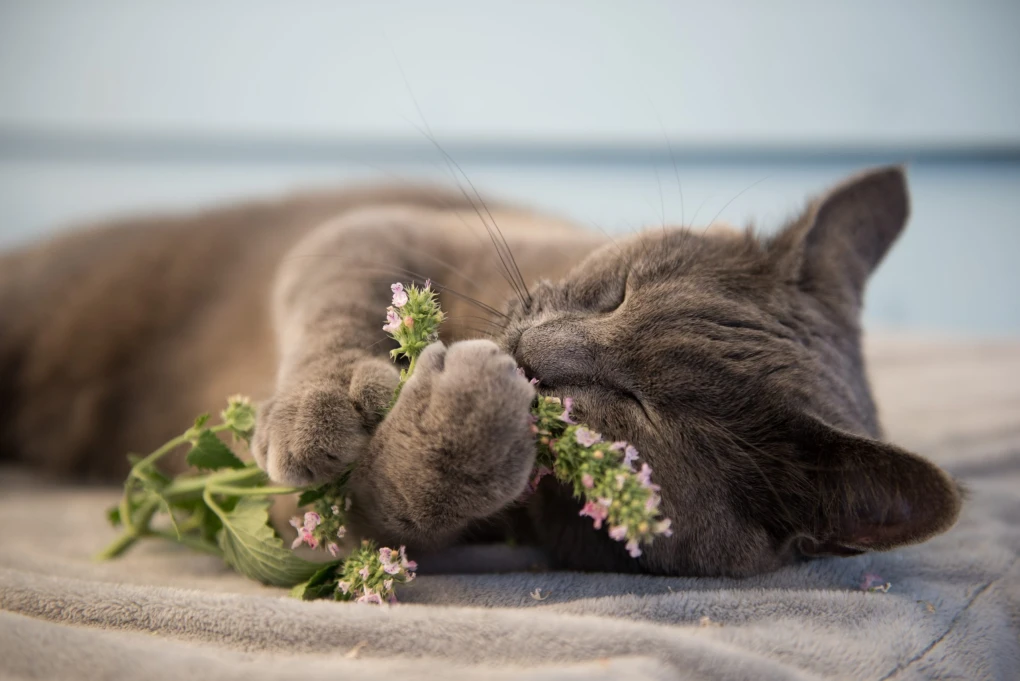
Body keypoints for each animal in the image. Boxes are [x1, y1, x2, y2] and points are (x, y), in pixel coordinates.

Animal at [0, 166, 958, 574]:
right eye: (618, 290)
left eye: (639, 408)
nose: (534, 356)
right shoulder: (382, 229)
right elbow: (339, 291)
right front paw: (325, 404)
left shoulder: (316, 528)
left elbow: (361, 514)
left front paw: (458, 426)